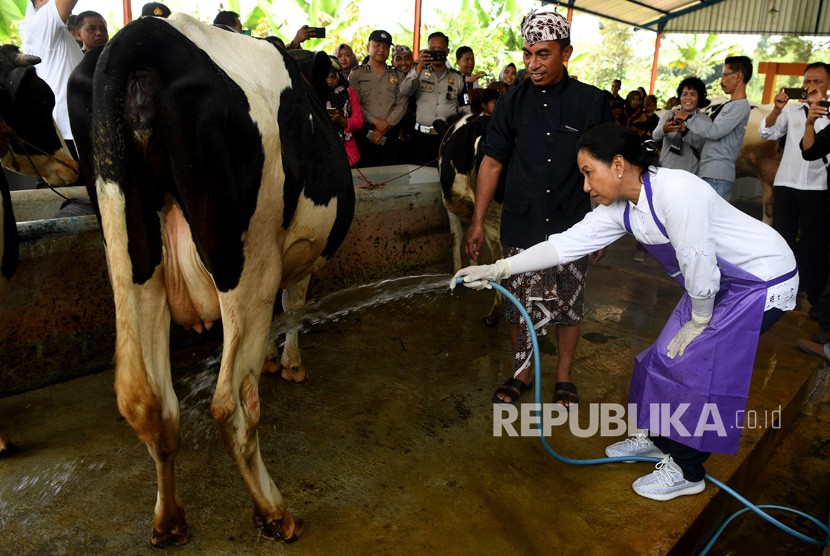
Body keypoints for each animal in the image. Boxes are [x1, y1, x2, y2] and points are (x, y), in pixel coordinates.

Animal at [70, 14, 354, 548]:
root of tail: (140, 38)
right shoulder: (297, 255)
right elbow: (295, 305)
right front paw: (289, 363)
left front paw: (276, 359)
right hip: (249, 266)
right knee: (231, 406)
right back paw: (275, 512)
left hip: (130, 249)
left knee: (147, 400)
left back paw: (169, 521)